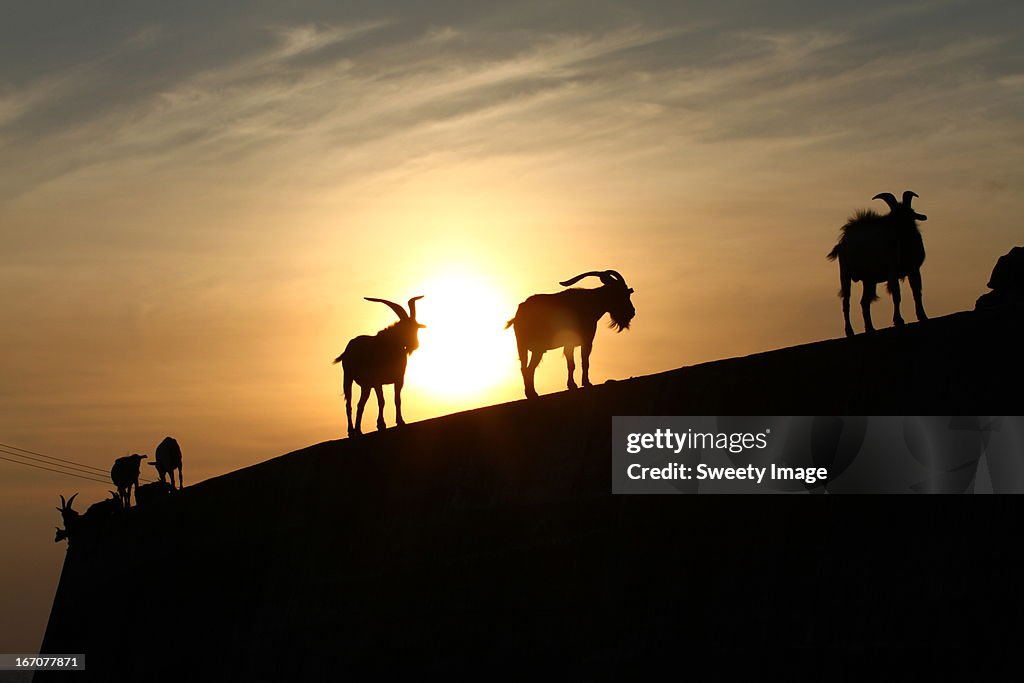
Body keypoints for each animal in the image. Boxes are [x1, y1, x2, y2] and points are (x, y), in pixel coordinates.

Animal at [333, 294, 425, 436]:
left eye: (415, 328)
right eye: (404, 328)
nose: (415, 345)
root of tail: (347, 349)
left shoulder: (399, 379)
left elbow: (397, 399)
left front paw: (400, 421)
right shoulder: (377, 381)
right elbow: (381, 401)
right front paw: (381, 424)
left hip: (366, 386)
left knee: (360, 404)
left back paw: (359, 430)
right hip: (348, 378)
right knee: (349, 404)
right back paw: (351, 431)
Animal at [507, 270, 634, 401]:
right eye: (622, 294)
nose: (632, 312)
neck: (590, 304)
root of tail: (519, 314)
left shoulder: (579, 343)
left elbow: (580, 362)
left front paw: (578, 384)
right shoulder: (579, 342)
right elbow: (576, 364)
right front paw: (579, 384)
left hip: (525, 348)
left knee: (525, 368)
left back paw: (530, 393)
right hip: (535, 348)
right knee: (528, 369)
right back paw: (532, 393)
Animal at [827, 189, 933, 335]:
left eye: (910, 214)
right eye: (894, 217)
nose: (903, 233)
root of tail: (842, 243)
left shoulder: (914, 270)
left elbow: (917, 293)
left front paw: (923, 316)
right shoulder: (892, 272)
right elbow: (896, 295)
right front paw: (898, 320)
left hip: (868, 280)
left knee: (864, 302)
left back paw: (870, 328)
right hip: (845, 274)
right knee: (846, 302)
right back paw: (849, 331)